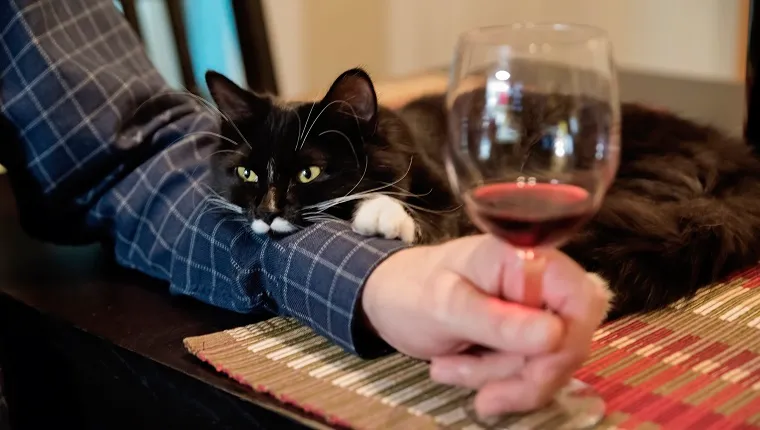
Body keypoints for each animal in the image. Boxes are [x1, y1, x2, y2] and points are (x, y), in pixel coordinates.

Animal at [206, 67, 760, 320]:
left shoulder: (453, 202)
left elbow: (421, 218)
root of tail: (740, 164)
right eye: (248, 174)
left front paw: (381, 214)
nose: (267, 212)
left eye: (309, 173)